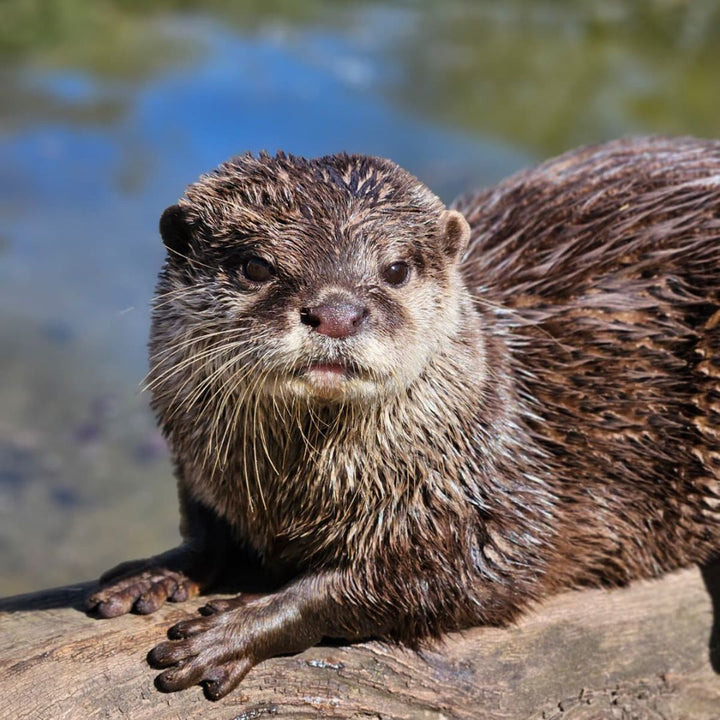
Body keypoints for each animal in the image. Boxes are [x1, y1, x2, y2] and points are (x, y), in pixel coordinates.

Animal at [87, 136, 720, 701]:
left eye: (394, 270)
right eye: (254, 265)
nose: (337, 311)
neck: (292, 491)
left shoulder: (496, 494)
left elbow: (451, 578)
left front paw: (235, 629)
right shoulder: (198, 459)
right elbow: (204, 523)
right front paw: (155, 572)